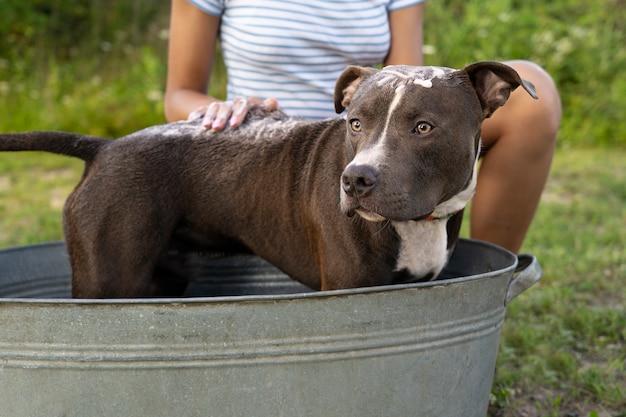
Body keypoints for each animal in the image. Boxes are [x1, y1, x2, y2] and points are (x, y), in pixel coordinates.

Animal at [0, 61, 536, 296]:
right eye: (354, 123)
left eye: (423, 127)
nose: (355, 180)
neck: (417, 224)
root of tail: (104, 147)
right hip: (107, 279)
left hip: (159, 279)